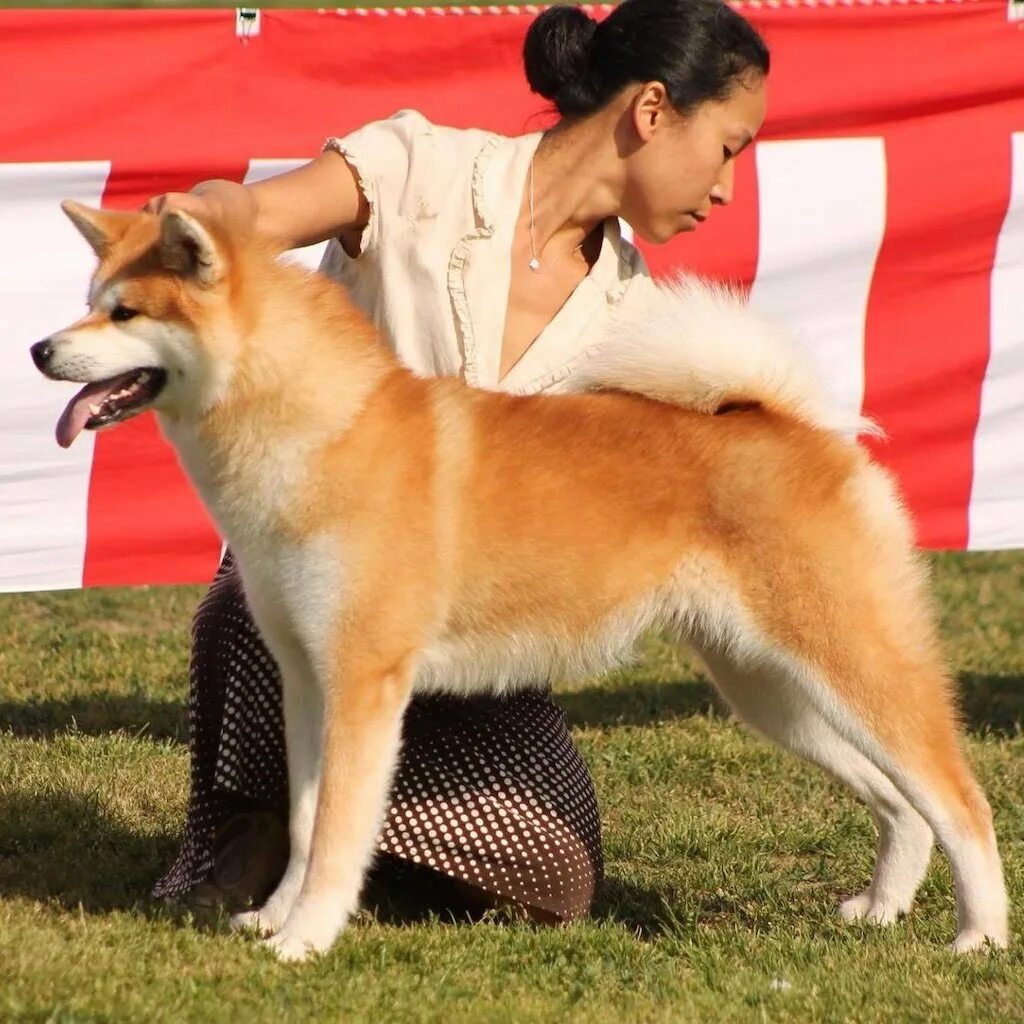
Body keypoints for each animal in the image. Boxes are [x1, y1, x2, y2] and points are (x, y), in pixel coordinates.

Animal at [34, 201, 1007, 958]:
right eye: (90, 305)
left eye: (124, 312)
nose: (42, 349)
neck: (314, 427)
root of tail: (797, 426)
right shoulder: (308, 678)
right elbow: (308, 824)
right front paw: (273, 919)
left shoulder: (364, 682)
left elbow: (341, 833)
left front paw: (306, 940)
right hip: (771, 690)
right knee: (901, 806)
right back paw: (879, 912)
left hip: (850, 665)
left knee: (960, 801)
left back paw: (980, 937)